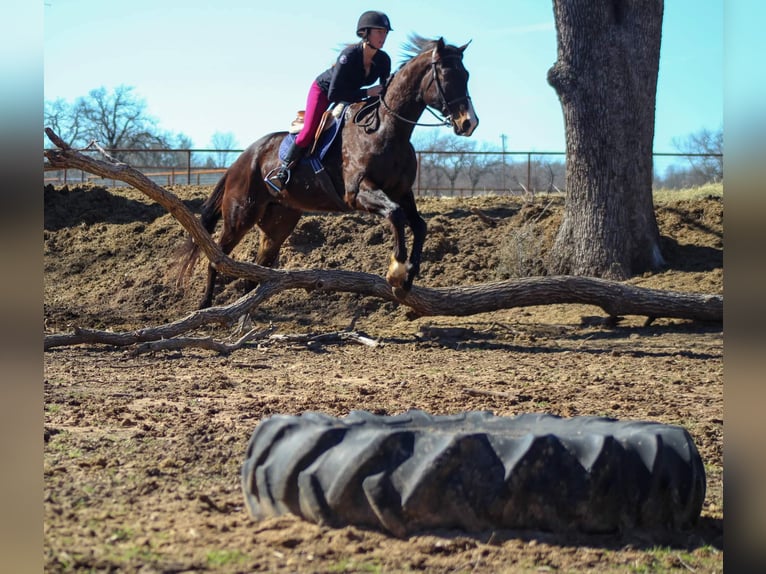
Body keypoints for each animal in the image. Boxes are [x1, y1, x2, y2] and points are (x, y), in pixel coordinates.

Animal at [180, 35, 480, 310]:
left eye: (466, 75)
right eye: (446, 76)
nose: (469, 123)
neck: (387, 129)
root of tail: (240, 161)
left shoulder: (402, 191)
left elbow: (419, 225)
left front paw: (407, 278)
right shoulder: (359, 192)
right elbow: (395, 215)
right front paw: (396, 271)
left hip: (279, 223)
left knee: (255, 269)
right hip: (240, 216)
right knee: (217, 258)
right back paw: (205, 306)